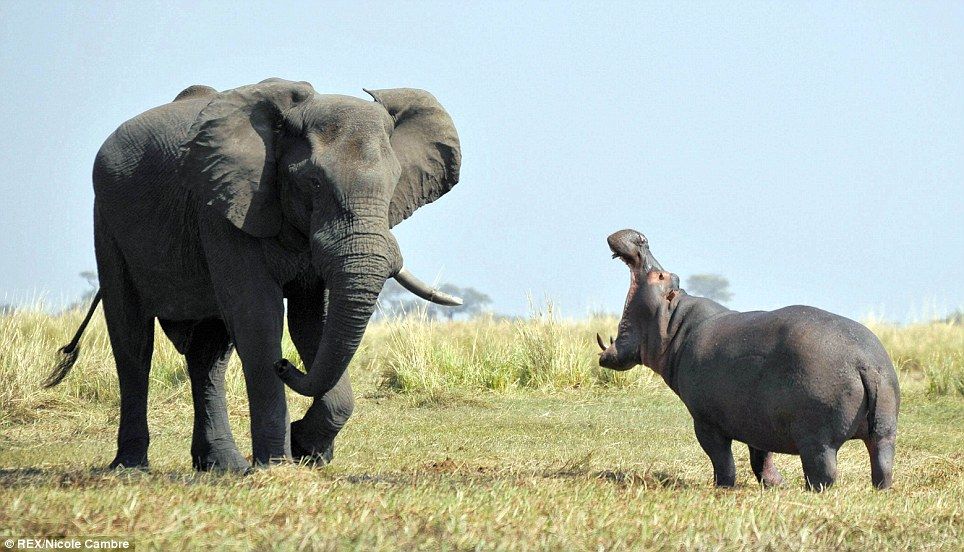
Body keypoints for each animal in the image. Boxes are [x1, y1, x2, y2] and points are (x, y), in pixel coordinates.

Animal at [44, 80, 464, 472]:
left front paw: (307, 449)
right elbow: (259, 320)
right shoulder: (225, 205)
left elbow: (313, 324)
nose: (285, 365)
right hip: (108, 221)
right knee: (133, 340)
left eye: (394, 183)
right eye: (313, 182)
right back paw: (132, 468)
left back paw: (223, 467)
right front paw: (279, 464)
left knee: (208, 354)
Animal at [600, 230, 900, 492]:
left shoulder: (705, 422)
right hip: (885, 430)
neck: (676, 324)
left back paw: (811, 492)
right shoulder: (759, 419)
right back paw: (880, 490)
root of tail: (865, 362)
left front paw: (723, 487)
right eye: (672, 276)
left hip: (817, 439)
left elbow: (722, 459)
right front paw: (776, 485)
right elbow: (761, 457)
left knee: (824, 473)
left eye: (661, 276)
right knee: (882, 463)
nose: (641, 238)